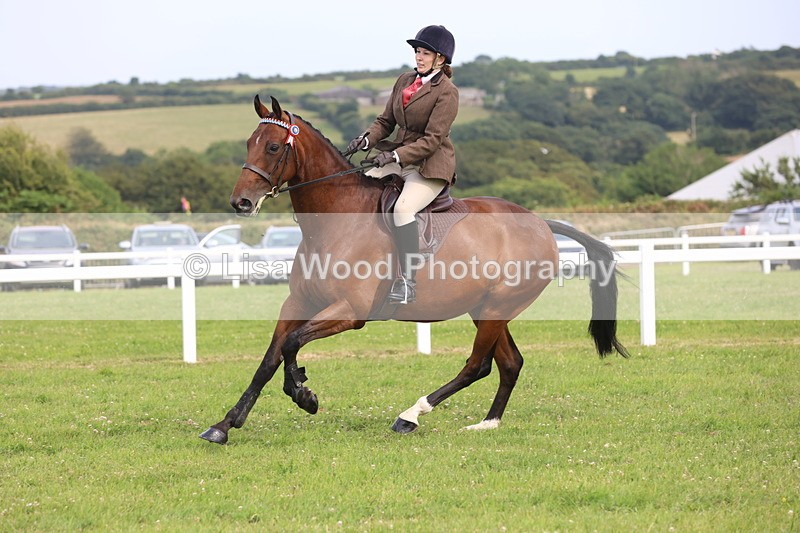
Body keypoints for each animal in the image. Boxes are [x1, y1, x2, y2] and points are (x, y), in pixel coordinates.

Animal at [199, 96, 627, 444]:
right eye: (249, 143)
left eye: (273, 146)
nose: (240, 203)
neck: (335, 221)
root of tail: (541, 223)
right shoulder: (297, 303)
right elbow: (269, 359)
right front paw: (225, 424)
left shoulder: (350, 312)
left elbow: (291, 344)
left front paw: (304, 394)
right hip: (486, 309)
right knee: (508, 363)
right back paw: (487, 423)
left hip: (496, 308)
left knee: (477, 365)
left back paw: (410, 416)